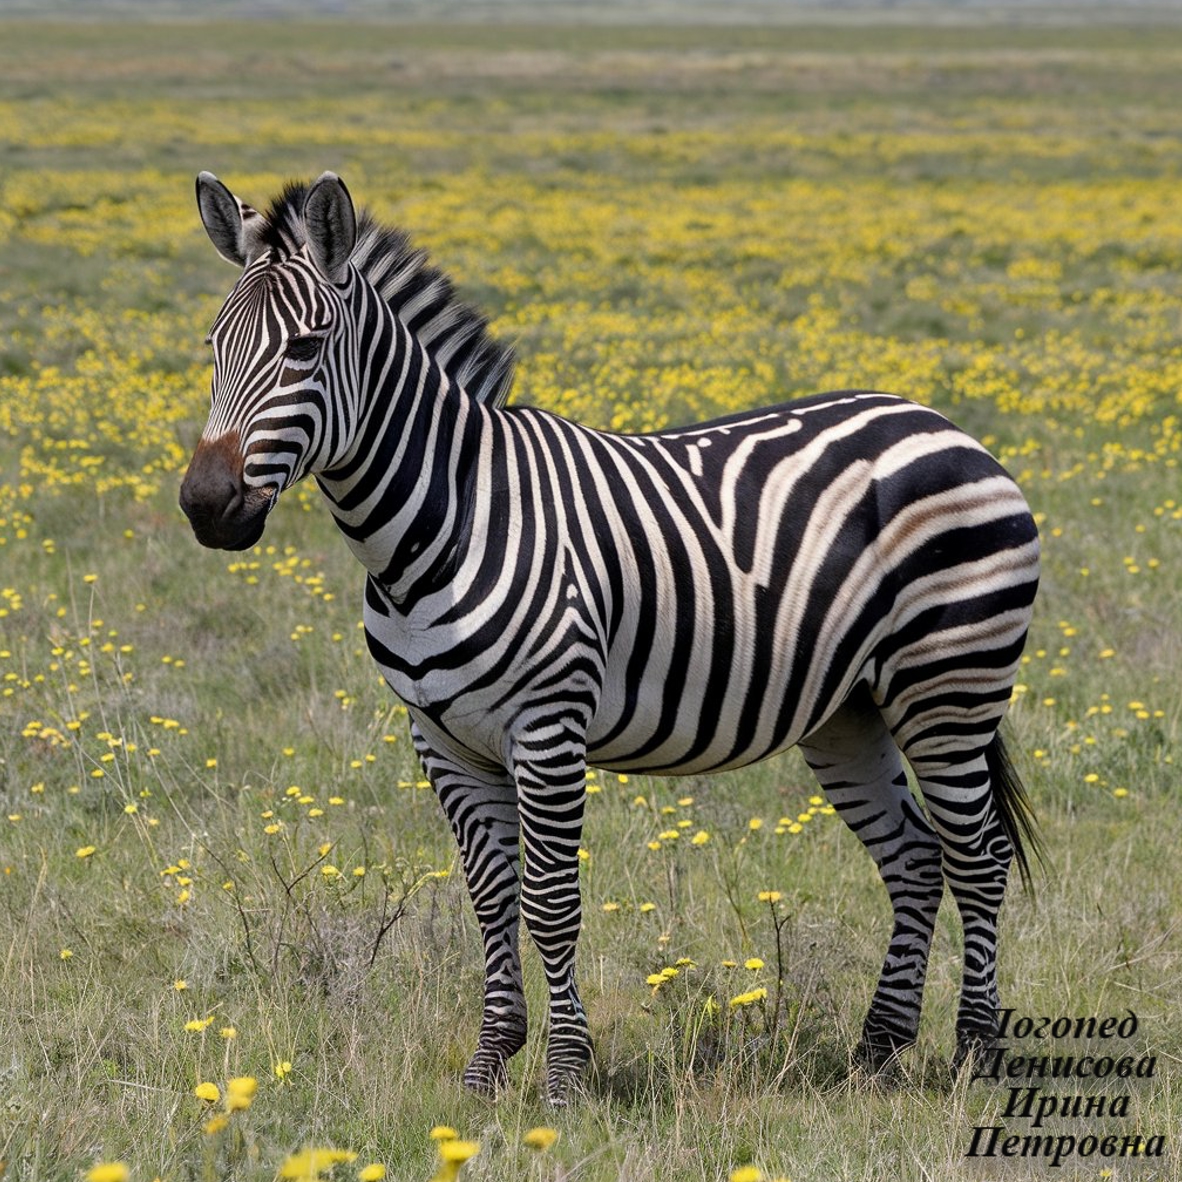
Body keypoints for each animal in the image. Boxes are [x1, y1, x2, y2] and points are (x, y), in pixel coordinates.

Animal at [180, 171, 1041, 1104]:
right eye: (212, 345)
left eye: (306, 347)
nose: (205, 506)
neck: (442, 521)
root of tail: (938, 420)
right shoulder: (442, 740)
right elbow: (492, 899)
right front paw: (489, 1066)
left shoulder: (547, 729)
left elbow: (552, 904)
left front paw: (563, 1076)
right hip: (850, 710)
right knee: (916, 859)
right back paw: (877, 1052)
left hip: (949, 687)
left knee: (979, 856)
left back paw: (974, 1054)